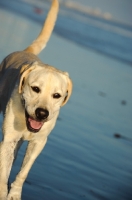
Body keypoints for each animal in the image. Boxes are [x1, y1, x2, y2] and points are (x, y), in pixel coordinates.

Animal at [0, 0, 72, 199]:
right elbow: (3, 173)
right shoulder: (8, 139)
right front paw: (2, 192)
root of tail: (28, 51)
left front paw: (14, 194)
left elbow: (24, 171)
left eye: (57, 95)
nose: (42, 113)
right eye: (35, 89)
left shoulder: (39, 143)